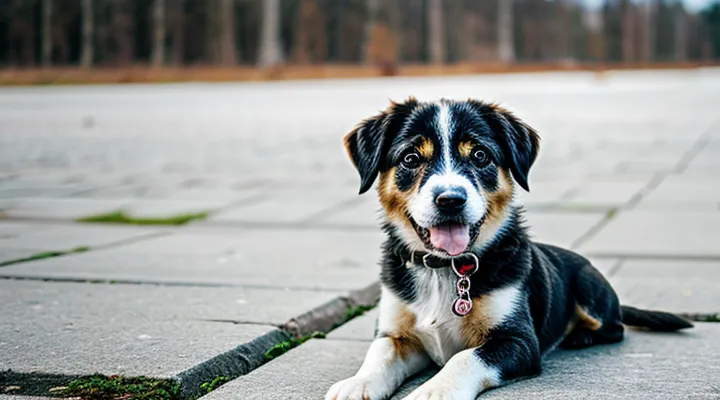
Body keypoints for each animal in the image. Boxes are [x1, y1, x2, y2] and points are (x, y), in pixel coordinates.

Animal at [326, 97, 692, 400]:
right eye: (411, 158)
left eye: (480, 155)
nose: (450, 200)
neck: (445, 270)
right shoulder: (398, 334)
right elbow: (380, 352)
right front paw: (357, 384)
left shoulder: (518, 341)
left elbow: (465, 358)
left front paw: (433, 391)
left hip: (591, 289)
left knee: (615, 327)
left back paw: (580, 336)